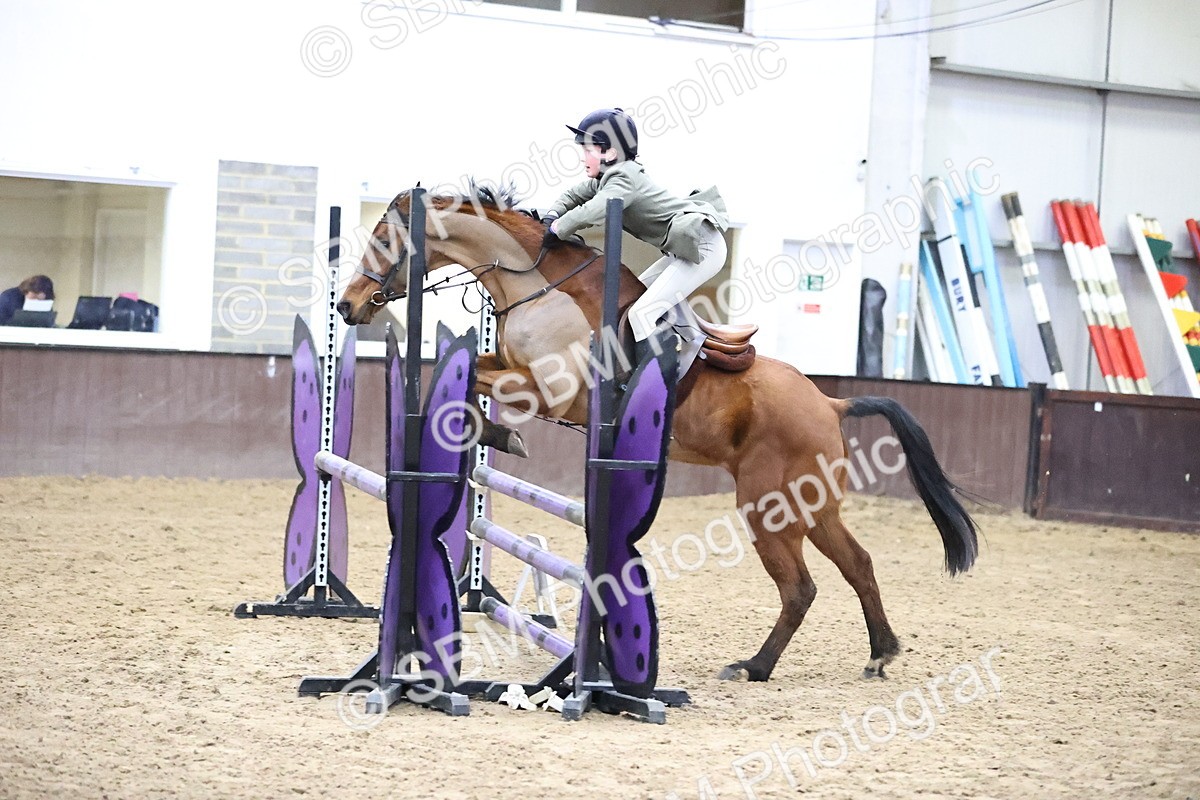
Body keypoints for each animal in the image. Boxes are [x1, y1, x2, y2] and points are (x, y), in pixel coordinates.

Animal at [335, 185, 978, 682]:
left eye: (385, 240)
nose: (347, 307)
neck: (537, 286)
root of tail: (830, 401)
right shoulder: (519, 371)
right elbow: (471, 378)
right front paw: (491, 435)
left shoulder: (552, 390)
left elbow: (478, 385)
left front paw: (499, 435)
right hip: (812, 506)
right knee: (858, 564)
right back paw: (878, 654)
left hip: (768, 505)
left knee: (800, 587)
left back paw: (754, 666)